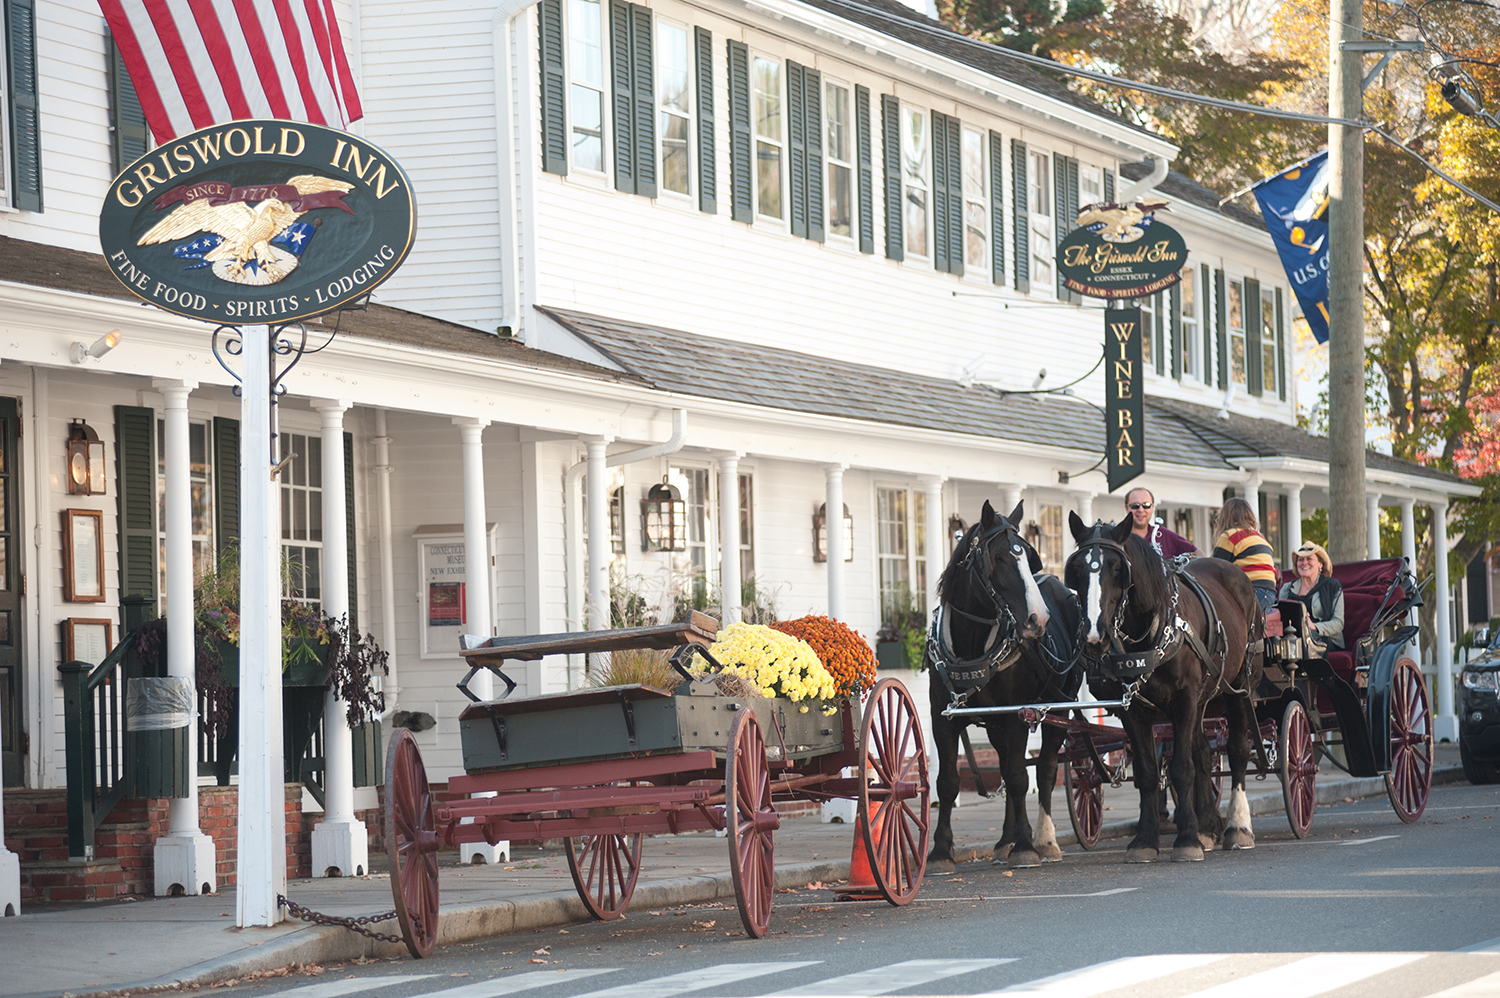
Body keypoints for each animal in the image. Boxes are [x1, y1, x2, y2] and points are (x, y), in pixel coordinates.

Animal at [924, 501, 1080, 870]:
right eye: (998, 558)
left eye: (1032, 558)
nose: (1038, 619)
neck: (971, 647)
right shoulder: (942, 717)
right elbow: (948, 782)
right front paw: (940, 852)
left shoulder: (1016, 714)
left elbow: (1021, 777)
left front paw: (1026, 847)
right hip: (994, 724)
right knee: (1008, 768)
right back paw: (1005, 841)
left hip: (1061, 706)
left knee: (1044, 769)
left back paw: (1044, 840)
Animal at [1068, 510, 1266, 858]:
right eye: (1076, 569)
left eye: (1117, 568)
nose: (1094, 635)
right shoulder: (1132, 708)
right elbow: (1148, 772)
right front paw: (1146, 840)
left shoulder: (1184, 698)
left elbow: (1181, 768)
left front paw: (1186, 839)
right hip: (1204, 696)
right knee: (1204, 753)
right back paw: (1208, 828)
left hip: (1240, 686)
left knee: (1238, 751)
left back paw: (1238, 828)